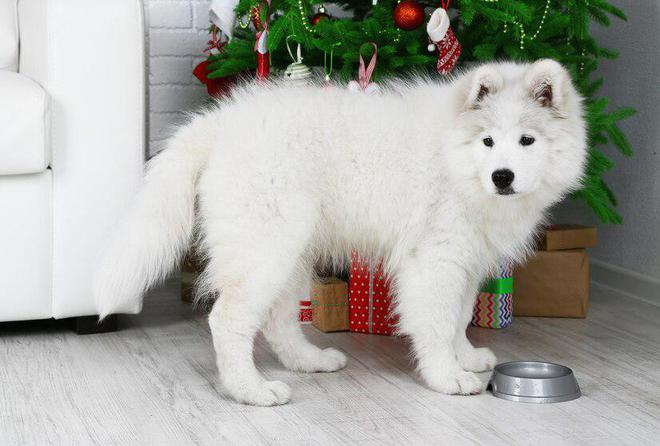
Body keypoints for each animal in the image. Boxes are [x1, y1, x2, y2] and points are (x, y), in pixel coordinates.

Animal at [94, 60, 588, 408]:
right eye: (487, 141)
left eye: (527, 140)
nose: (502, 177)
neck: (455, 160)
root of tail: (221, 123)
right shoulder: (435, 259)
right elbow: (436, 320)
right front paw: (447, 376)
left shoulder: (466, 259)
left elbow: (459, 316)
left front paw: (465, 358)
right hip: (265, 246)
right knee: (229, 320)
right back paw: (251, 391)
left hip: (293, 249)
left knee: (277, 320)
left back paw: (310, 362)